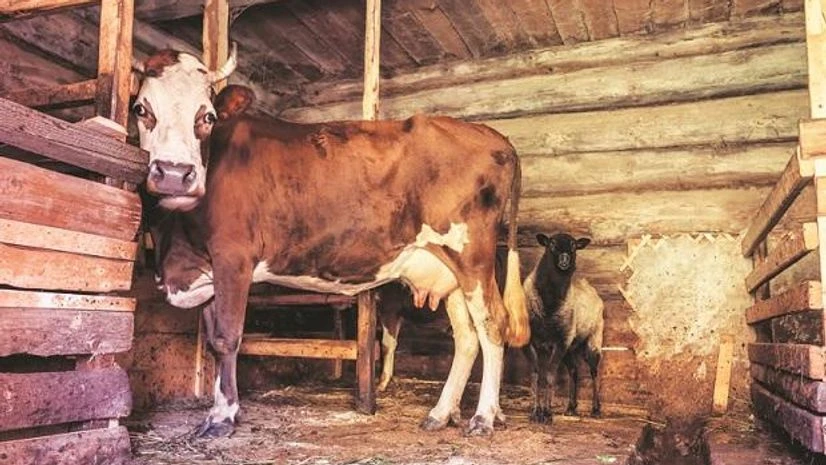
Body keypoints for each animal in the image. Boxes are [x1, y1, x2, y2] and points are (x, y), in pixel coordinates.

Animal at [134, 45, 530, 438]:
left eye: (209, 116)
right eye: (141, 108)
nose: (174, 174)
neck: (176, 246)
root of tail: (493, 136)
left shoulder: (233, 256)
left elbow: (226, 337)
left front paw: (222, 417)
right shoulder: (206, 269)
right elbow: (214, 340)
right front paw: (221, 410)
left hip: (472, 256)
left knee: (493, 325)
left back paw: (483, 417)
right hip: (449, 269)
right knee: (466, 337)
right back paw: (440, 413)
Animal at [522, 233, 605, 424]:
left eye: (574, 245)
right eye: (551, 244)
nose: (565, 259)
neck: (548, 307)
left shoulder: (560, 341)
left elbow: (550, 375)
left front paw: (547, 413)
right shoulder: (531, 342)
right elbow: (536, 374)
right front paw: (535, 412)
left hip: (592, 339)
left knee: (594, 371)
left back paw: (596, 409)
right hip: (571, 346)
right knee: (574, 371)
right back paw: (571, 408)